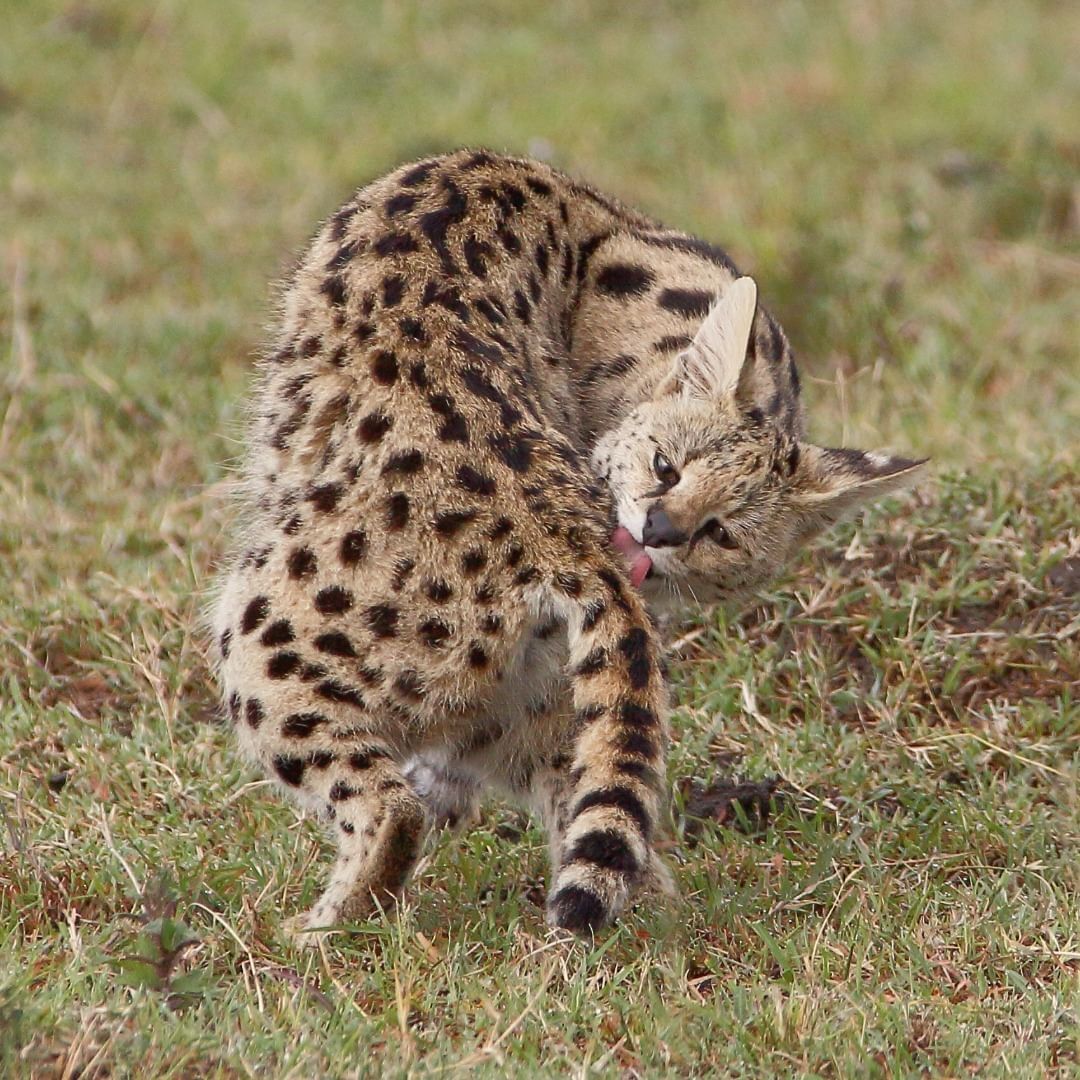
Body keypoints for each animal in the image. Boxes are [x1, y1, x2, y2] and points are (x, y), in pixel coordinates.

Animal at [208, 147, 920, 933]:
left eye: (720, 533)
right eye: (666, 466)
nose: (659, 530)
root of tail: (562, 535)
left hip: (263, 634)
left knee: (388, 808)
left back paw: (320, 930)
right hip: (532, 692)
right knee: (606, 816)